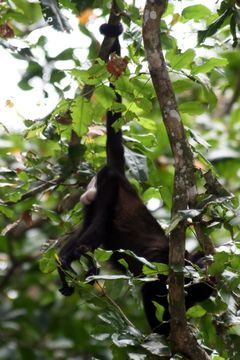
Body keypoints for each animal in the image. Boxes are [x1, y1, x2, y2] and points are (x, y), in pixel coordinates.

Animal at [57, 23, 213, 334]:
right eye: (201, 262)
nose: (204, 268)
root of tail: (122, 177)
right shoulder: (166, 265)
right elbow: (149, 290)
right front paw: (163, 334)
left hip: (93, 197)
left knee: (87, 229)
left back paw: (66, 265)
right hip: (108, 187)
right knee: (95, 231)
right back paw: (70, 261)